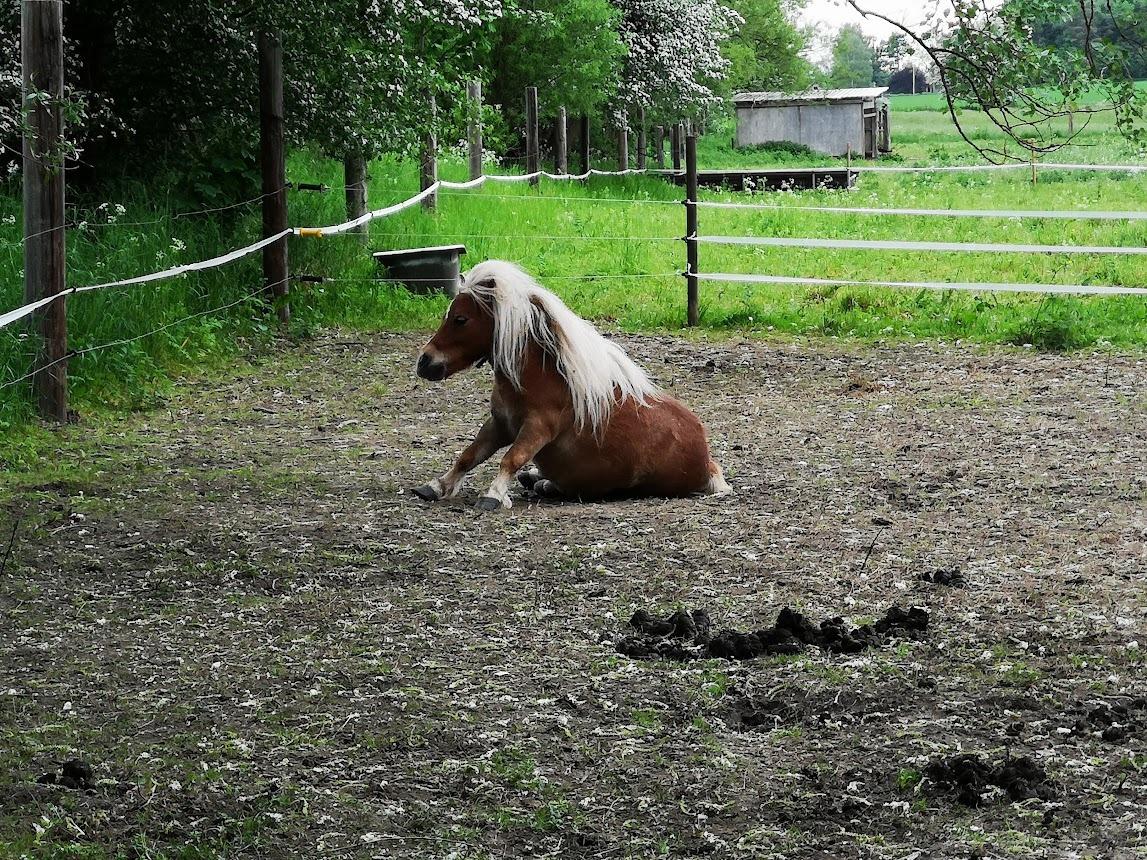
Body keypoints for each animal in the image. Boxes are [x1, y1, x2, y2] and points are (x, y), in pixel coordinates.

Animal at [417, 259, 729, 509]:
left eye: (460, 319)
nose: (424, 362)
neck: (538, 377)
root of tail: (707, 462)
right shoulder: (500, 425)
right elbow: (469, 456)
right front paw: (436, 486)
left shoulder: (536, 429)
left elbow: (511, 458)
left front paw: (493, 495)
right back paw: (535, 479)